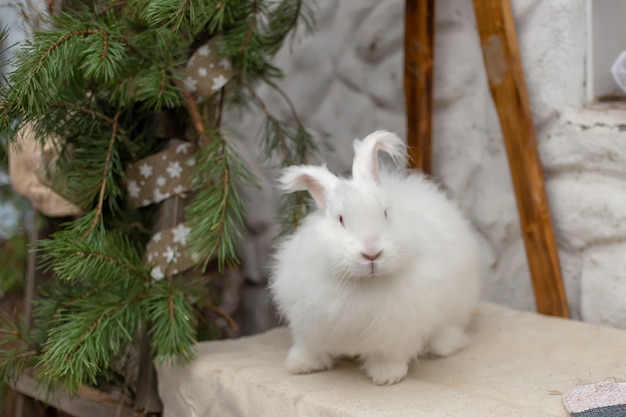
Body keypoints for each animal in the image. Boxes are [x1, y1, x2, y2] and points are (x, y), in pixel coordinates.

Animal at [266, 130, 478, 384]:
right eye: (340, 219)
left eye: (385, 213)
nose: (371, 253)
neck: (364, 283)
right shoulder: (307, 323)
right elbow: (310, 347)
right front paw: (299, 365)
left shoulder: (397, 331)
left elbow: (388, 354)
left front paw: (386, 376)